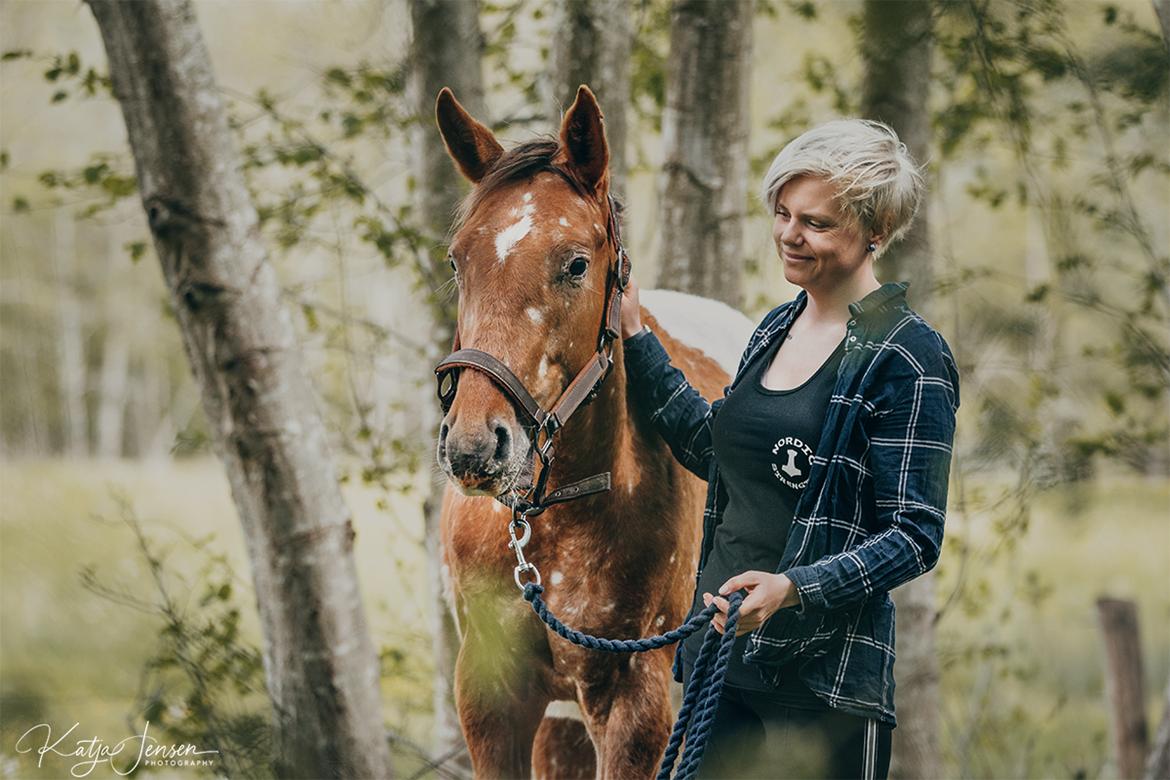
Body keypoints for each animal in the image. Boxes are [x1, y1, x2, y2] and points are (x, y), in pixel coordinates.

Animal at [435, 82, 753, 776]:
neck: (553, 522)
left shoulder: (633, 705)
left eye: (576, 265)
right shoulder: (488, 695)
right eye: (457, 262)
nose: (474, 446)